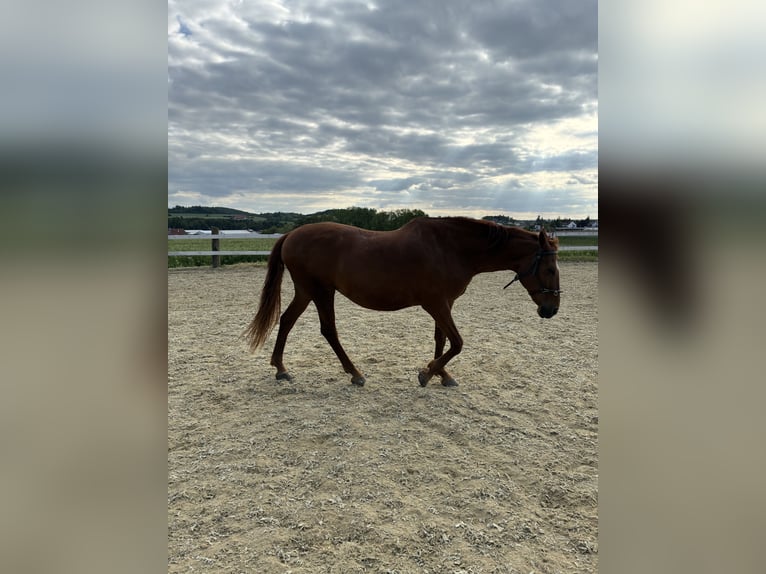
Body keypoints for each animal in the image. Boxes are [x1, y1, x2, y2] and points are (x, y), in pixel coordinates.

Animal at [244, 216, 561, 387]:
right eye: (549, 269)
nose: (551, 309)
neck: (450, 249)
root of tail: (291, 234)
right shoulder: (435, 304)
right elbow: (457, 343)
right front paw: (427, 372)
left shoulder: (445, 304)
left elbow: (441, 340)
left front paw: (441, 374)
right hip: (319, 291)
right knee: (327, 330)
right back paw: (355, 374)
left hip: (309, 291)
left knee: (287, 320)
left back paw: (281, 368)